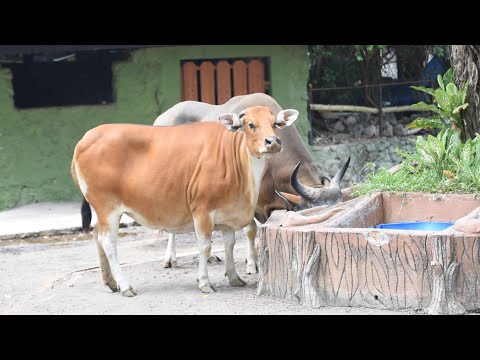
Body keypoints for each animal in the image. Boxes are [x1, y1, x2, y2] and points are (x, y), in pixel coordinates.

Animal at [72, 105, 296, 296]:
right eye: (250, 124)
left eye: (274, 123)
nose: (273, 142)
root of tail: (85, 139)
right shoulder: (202, 209)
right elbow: (204, 246)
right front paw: (204, 282)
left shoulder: (227, 213)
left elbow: (230, 244)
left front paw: (234, 277)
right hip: (108, 207)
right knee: (107, 242)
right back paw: (126, 286)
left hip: (101, 210)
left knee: (96, 236)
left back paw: (110, 282)